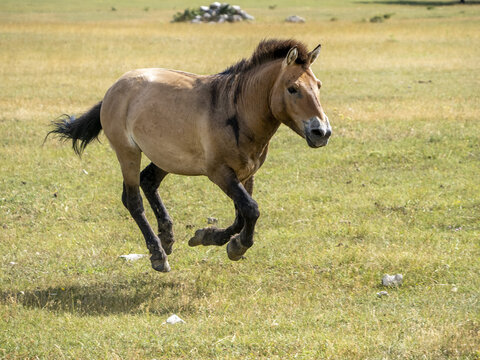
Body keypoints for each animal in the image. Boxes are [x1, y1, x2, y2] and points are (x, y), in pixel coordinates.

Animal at [49, 38, 334, 272]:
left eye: (318, 86)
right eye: (292, 88)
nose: (322, 132)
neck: (236, 111)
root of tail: (114, 88)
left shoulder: (247, 174)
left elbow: (242, 215)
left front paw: (209, 237)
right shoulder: (219, 173)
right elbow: (251, 210)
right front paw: (235, 246)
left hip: (164, 156)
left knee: (148, 182)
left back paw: (167, 237)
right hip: (128, 152)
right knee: (133, 200)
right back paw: (158, 255)